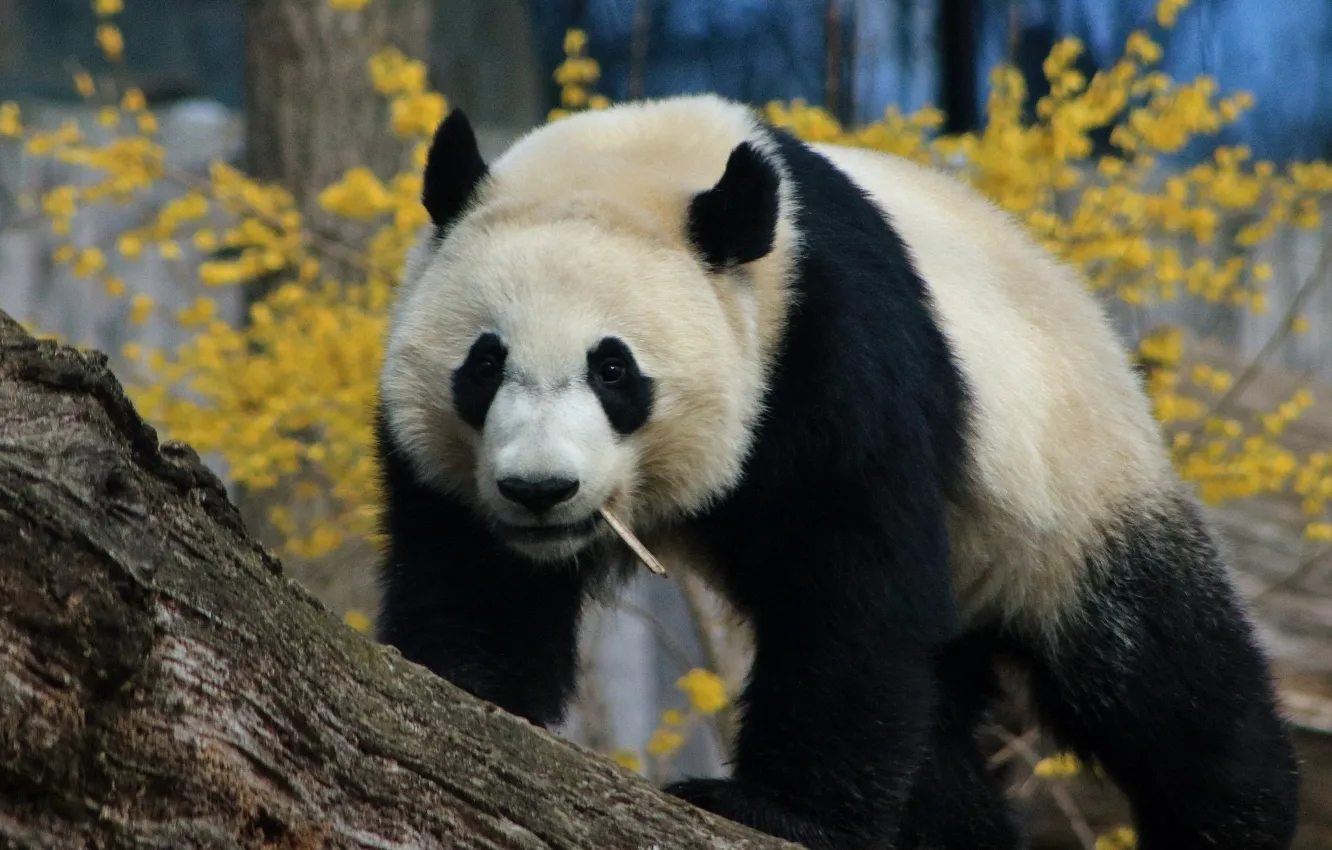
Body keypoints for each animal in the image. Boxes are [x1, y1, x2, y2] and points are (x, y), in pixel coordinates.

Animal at [373, 93, 1299, 850]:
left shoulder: (832, 341)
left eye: (613, 369)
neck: (649, 160)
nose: (540, 490)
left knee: (1157, 670)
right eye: (484, 364)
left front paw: (772, 810)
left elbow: (853, 580)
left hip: (1067, 483)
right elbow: (475, 575)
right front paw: (460, 698)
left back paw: (1243, 815)